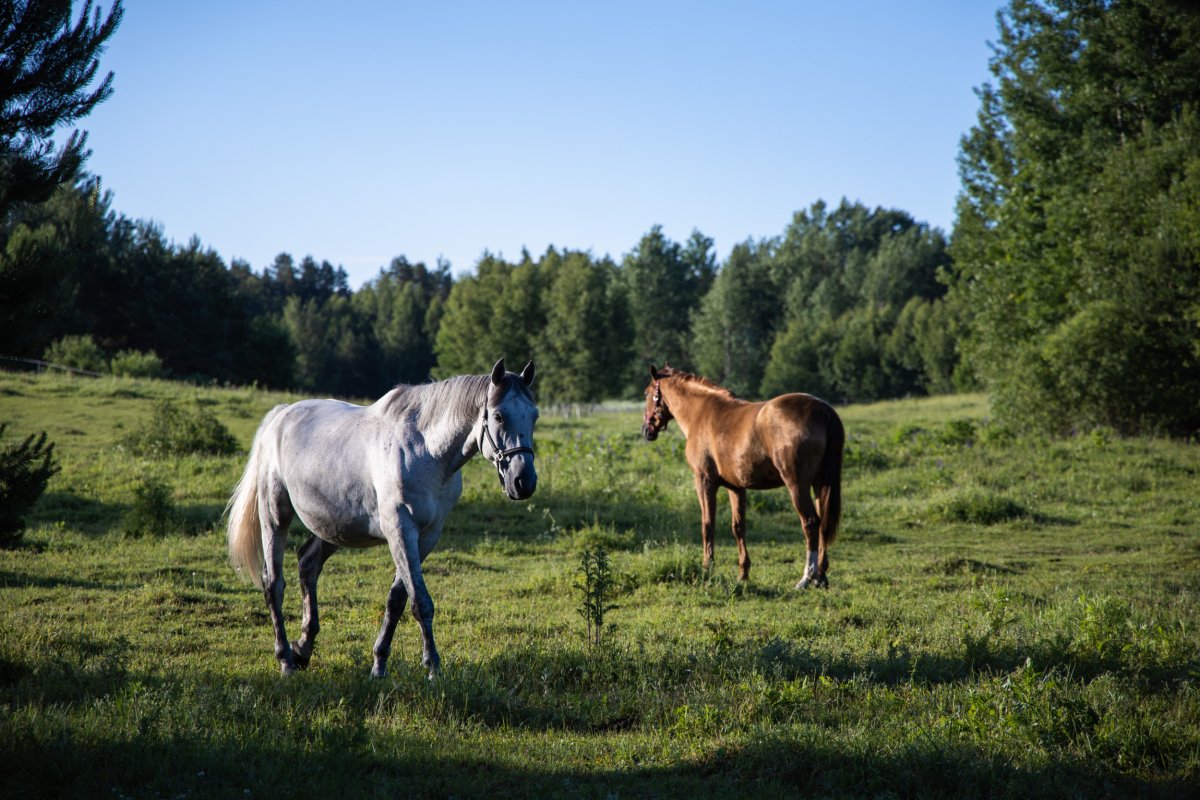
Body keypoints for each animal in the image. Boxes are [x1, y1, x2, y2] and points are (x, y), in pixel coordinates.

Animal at [226, 358, 538, 678]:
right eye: (498, 416)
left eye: (534, 416)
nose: (523, 481)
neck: (426, 450)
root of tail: (280, 415)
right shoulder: (400, 529)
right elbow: (420, 601)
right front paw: (433, 667)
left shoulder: (427, 536)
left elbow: (398, 599)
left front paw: (379, 663)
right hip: (275, 515)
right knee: (273, 584)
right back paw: (286, 660)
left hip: (334, 527)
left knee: (308, 563)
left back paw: (303, 648)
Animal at [640, 365, 844, 589]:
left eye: (647, 394)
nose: (646, 430)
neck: (701, 413)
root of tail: (824, 411)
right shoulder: (736, 487)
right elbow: (738, 527)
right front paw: (743, 573)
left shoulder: (704, 481)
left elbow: (707, 524)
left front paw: (707, 568)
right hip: (819, 485)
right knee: (823, 524)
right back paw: (821, 576)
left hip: (797, 485)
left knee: (810, 522)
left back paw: (807, 577)